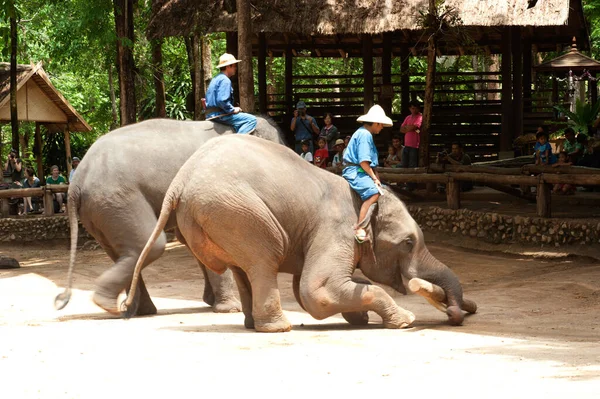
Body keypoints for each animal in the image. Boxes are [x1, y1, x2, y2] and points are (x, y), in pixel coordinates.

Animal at [54, 117, 284, 318]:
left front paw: (211, 302)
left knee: (123, 252)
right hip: (116, 199)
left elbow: (192, 242)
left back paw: (133, 309)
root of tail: (75, 183)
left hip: (99, 211)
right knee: (147, 246)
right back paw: (111, 305)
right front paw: (229, 309)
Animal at [124, 134, 476, 332]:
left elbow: (307, 286)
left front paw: (360, 318)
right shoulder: (336, 230)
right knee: (262, 262)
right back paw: (278, 329)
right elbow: (314, 291)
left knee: (242, 269)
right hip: (239, 212)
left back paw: (253, 324)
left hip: (224, 217)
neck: (363, 201)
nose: (458, 312)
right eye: (408, 242)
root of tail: (178, 183)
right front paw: (404, 320)